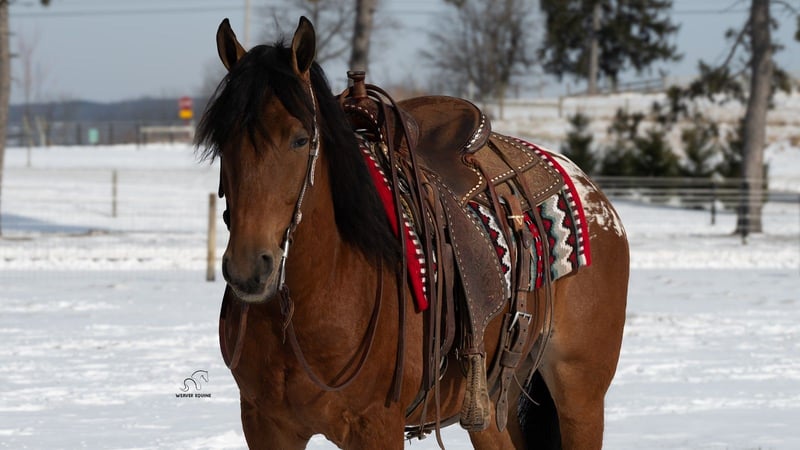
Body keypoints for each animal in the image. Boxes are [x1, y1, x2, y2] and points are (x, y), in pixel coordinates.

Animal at [196, 17, 628, 450]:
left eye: (300, 139)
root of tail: (593, 194)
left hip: (580, 396)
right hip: (491, 409)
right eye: (222, 141)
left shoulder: (376, 426)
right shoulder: (265, 424)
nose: (249, 269)